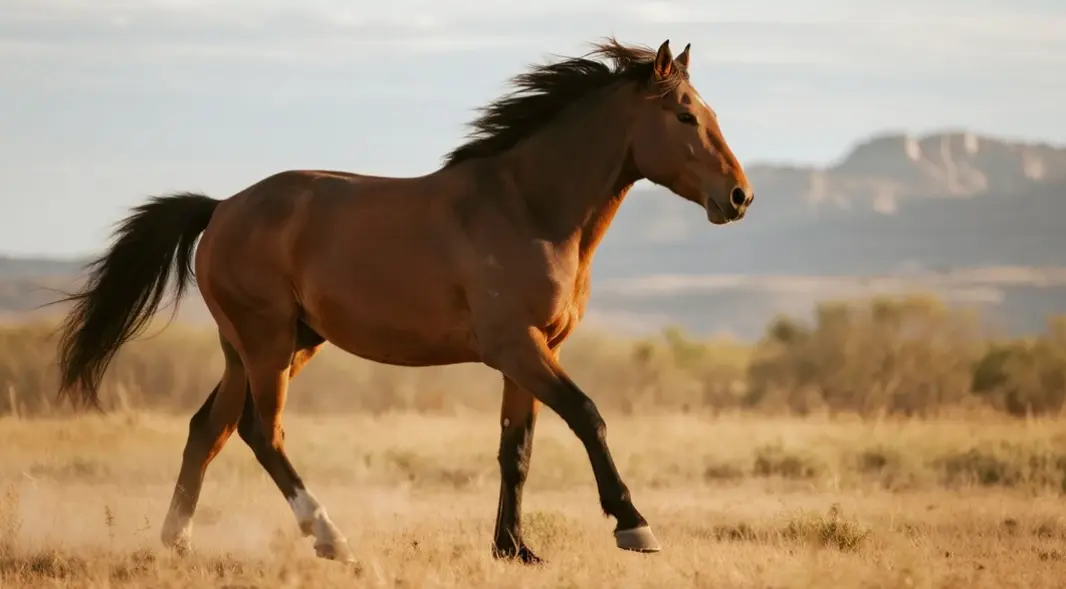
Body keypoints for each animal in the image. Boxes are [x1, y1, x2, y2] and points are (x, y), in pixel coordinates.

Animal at [52, 38, 754, 565]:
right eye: (686, 116)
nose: (740, 196)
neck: (529, 208)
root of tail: (221, 207)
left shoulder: (531, 353)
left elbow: (516, 451)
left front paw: (513, 549)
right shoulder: (517, 347)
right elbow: (587, 415)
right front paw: (634, 526)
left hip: (262, 348)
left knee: (209, 429)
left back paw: (177, 543)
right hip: (268, 344)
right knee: (260, 431)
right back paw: (329, 537)